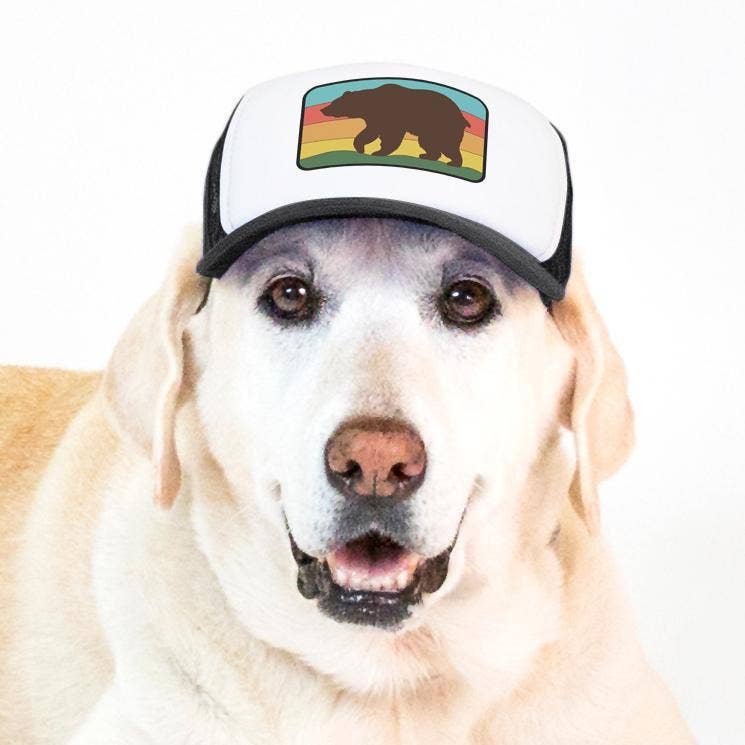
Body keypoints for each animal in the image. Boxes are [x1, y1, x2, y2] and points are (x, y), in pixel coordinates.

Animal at [320, 83, 470, 168]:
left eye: (334, 103)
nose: (323, 109)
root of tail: (462, 118)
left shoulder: (392, 116)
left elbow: (389, 135)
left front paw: (377, 151)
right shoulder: (376, 118)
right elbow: (371, 132)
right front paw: (362, 147)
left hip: (443, 125)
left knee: (448, 145)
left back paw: (454, 163)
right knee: (428, 143)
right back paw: (427, 155)